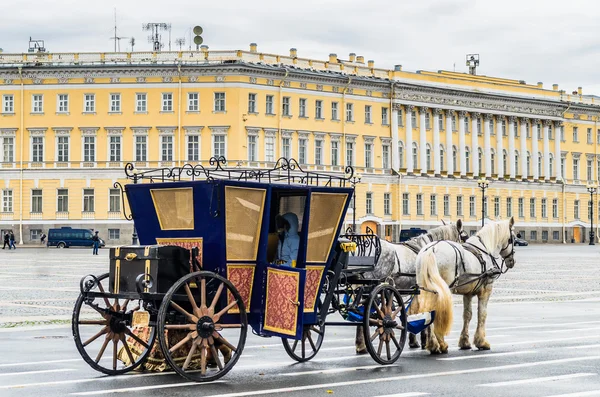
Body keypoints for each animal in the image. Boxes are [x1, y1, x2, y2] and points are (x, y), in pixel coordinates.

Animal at [412, 217, 516, 352]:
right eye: (513, 238)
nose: (512, 261)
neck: (484, 250)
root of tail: (431, 249)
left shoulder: (468, 293)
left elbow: (467, 315)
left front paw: (465, 342)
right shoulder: (486, 290)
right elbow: (482, 314)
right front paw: (481, 342)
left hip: (426, 290)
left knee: (428, 312)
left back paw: (432, 344)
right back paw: (441, 344)